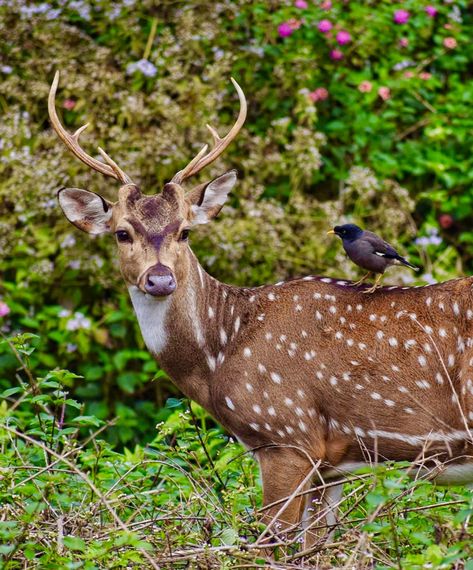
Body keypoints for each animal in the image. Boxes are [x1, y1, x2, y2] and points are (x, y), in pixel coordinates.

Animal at [49, 73, 470, 544]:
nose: (159, 279)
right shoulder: (333, 462)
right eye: (122, 233)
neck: (221, 350)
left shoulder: (286, 434)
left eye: (185, 231)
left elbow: (270, 543)